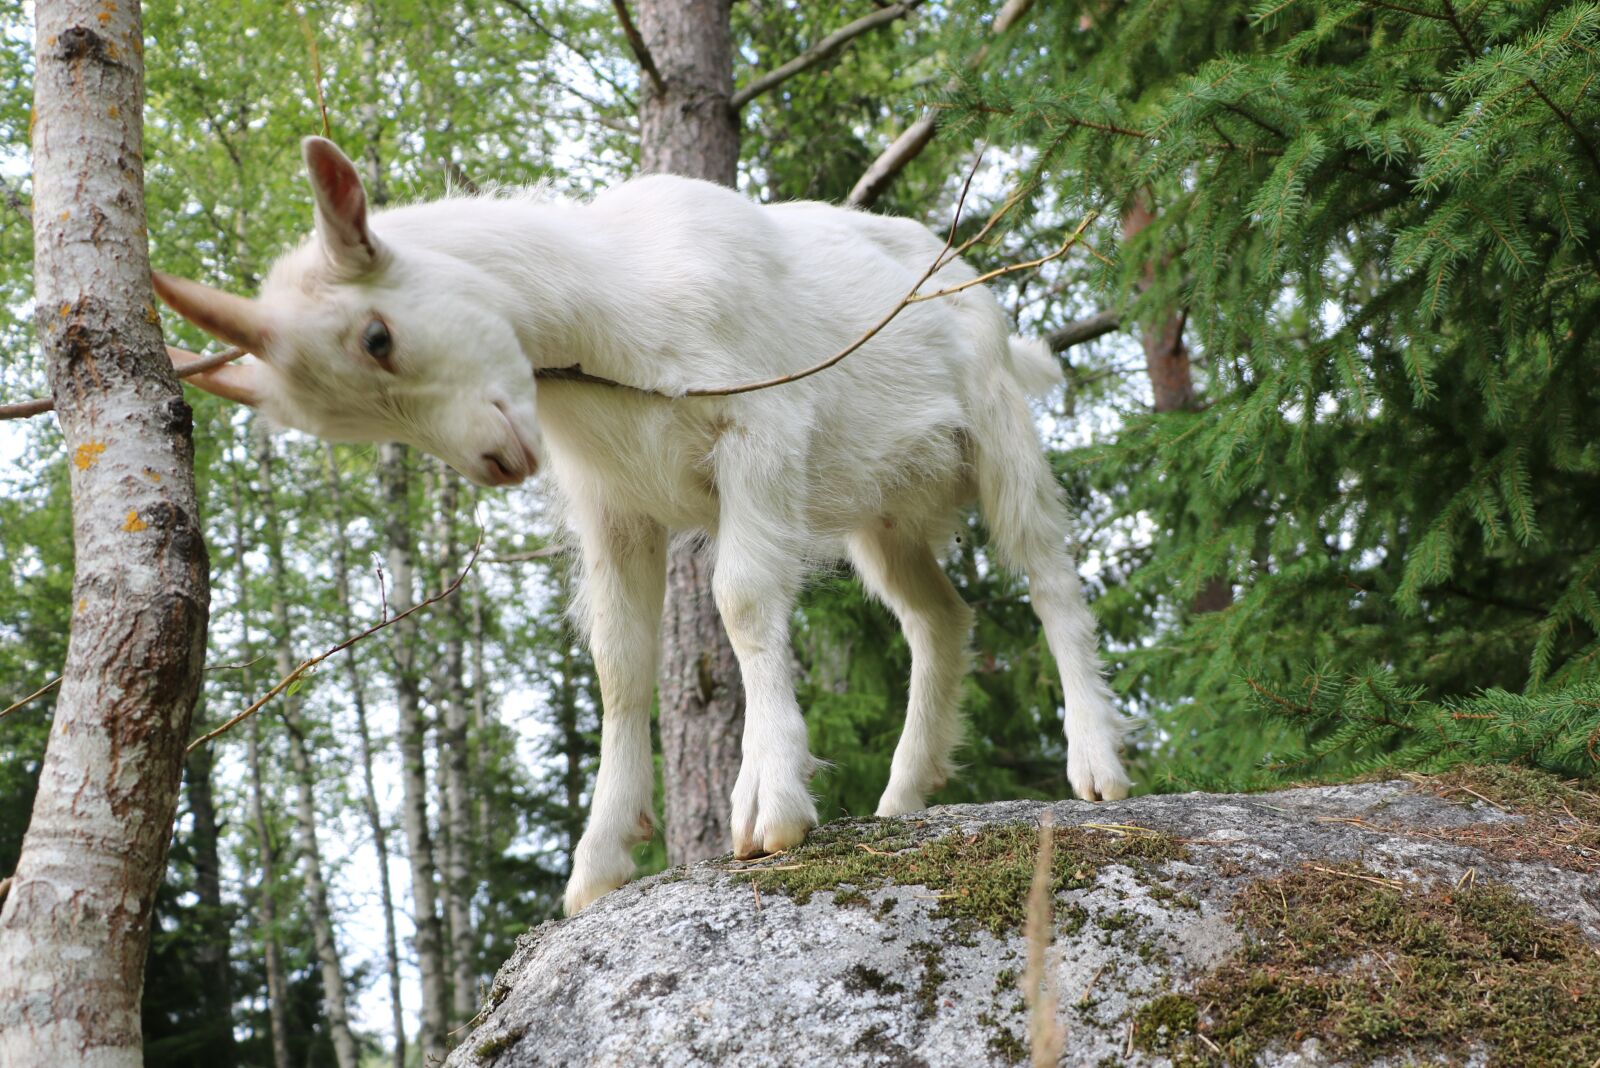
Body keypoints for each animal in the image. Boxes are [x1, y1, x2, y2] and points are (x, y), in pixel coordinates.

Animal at [157, 138, 1133, 914]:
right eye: (339, 426)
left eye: (377, 337)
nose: (497, 461)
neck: (605, 304)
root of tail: (955, 264)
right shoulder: (614, 506)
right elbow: (622, 665)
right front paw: (597, 864)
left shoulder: (760, 433)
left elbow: (742, 603)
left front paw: (769, 808)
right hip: (879, 509)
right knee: (939, 615)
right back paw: (904, 796)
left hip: (997, 432)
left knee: (1049, 573)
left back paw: (1096, 767)